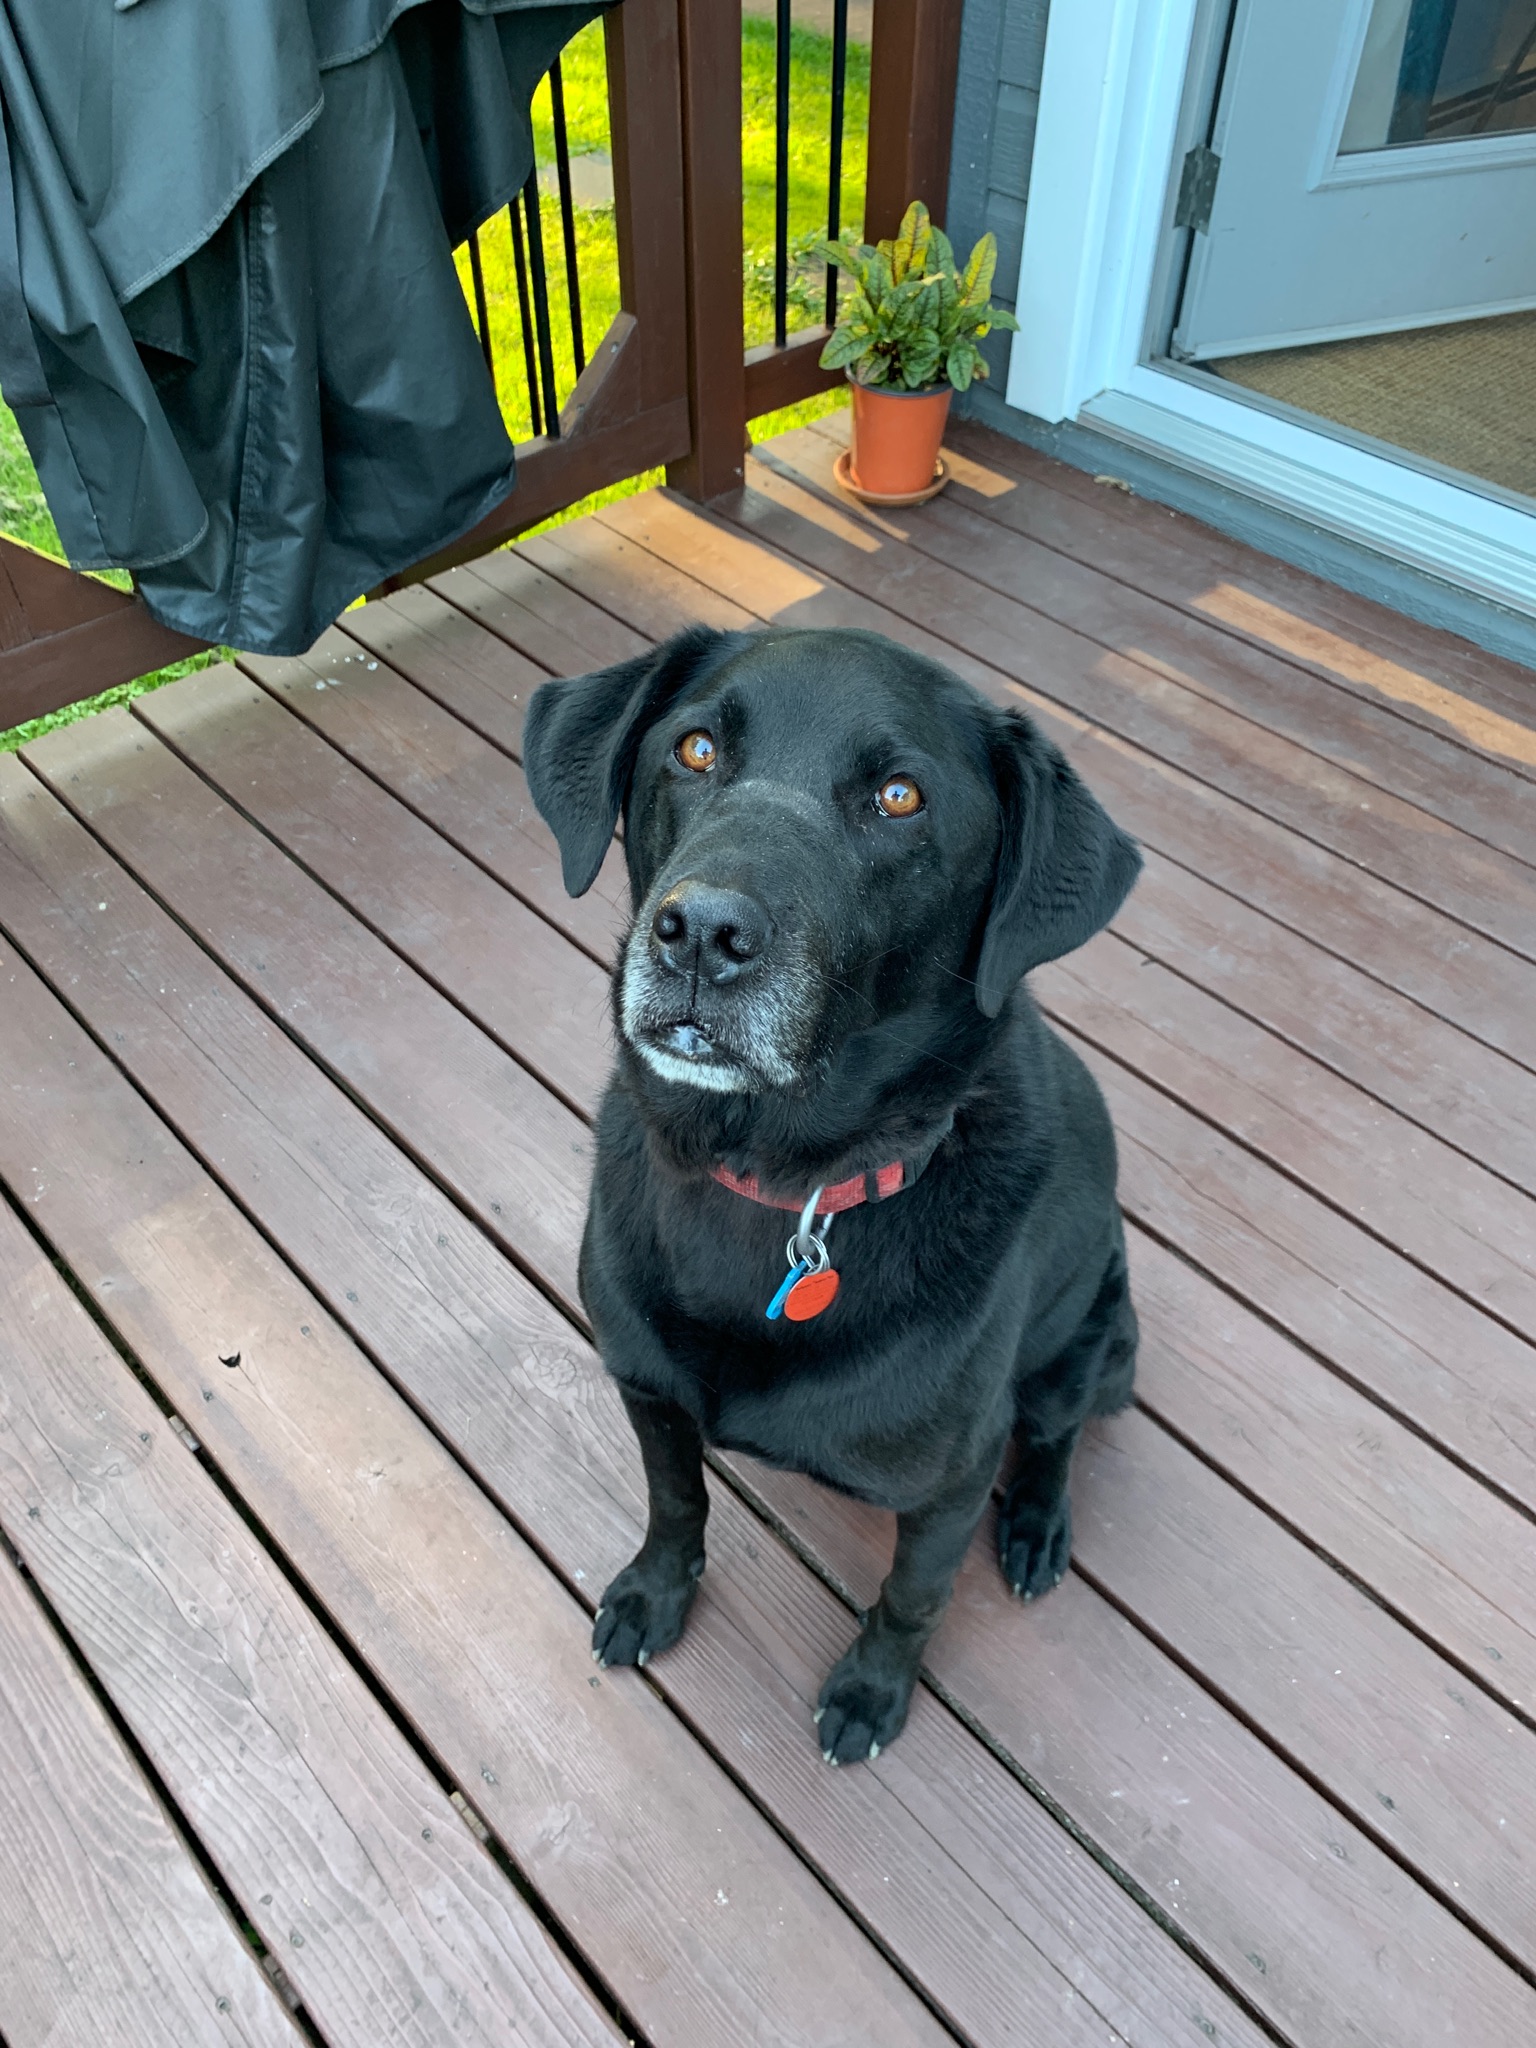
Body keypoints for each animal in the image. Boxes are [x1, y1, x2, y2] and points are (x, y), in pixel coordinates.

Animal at [524, 624, 1141, 1765]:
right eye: (694, 749)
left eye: (900, 797)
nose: (700, 933)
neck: (775, 1181)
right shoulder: (645, 1385)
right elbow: (675, 1502)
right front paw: (654, 1592)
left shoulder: (949, 1484)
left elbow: (911, 1597)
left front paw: (870, 1692)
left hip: (1098, 1339)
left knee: (1057, 1433)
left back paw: (1037, 1527)